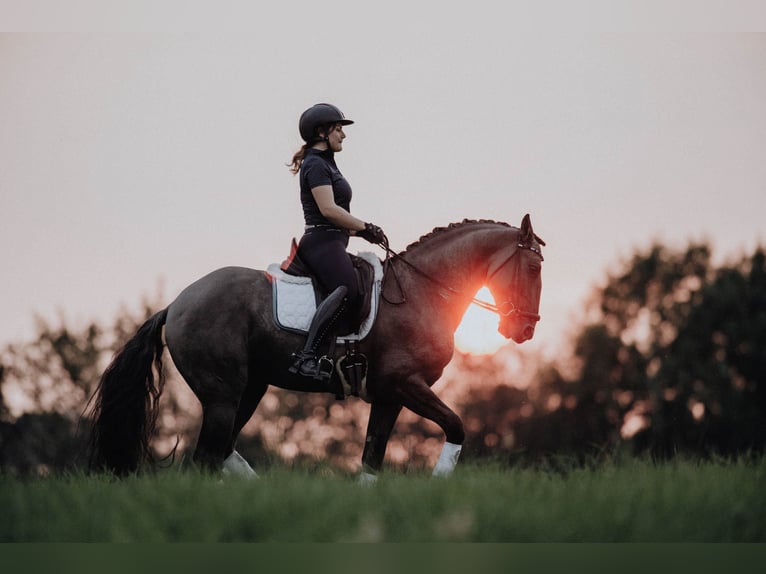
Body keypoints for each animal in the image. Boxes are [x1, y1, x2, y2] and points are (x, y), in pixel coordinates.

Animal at [88, 214, 544, 480]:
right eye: (534, 267)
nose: (524, 329)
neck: (421, 293)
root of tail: (176, 303)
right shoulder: (405, 384)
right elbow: (456, 426)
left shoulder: (389, 396)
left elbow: (371, 459)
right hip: (222, 394)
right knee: (206, 458)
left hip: (249, 390)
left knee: (220, 452)